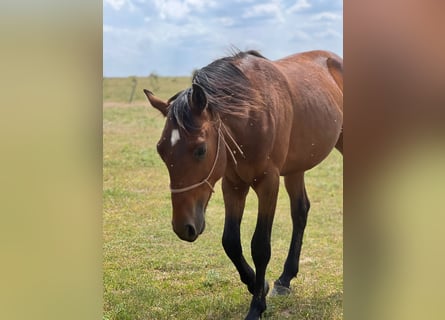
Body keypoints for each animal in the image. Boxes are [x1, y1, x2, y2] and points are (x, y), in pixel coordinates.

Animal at [144, 50, 342, 320]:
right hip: (295, 169)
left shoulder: (268, 184)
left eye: (200, 149)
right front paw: (258, 284)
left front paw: (256, 306)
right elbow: (230, 242)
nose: (183, 227)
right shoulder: (233, 185)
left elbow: (260, 246)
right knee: (300, 212)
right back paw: (284, 279)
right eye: (161, 150)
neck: (252, 115)